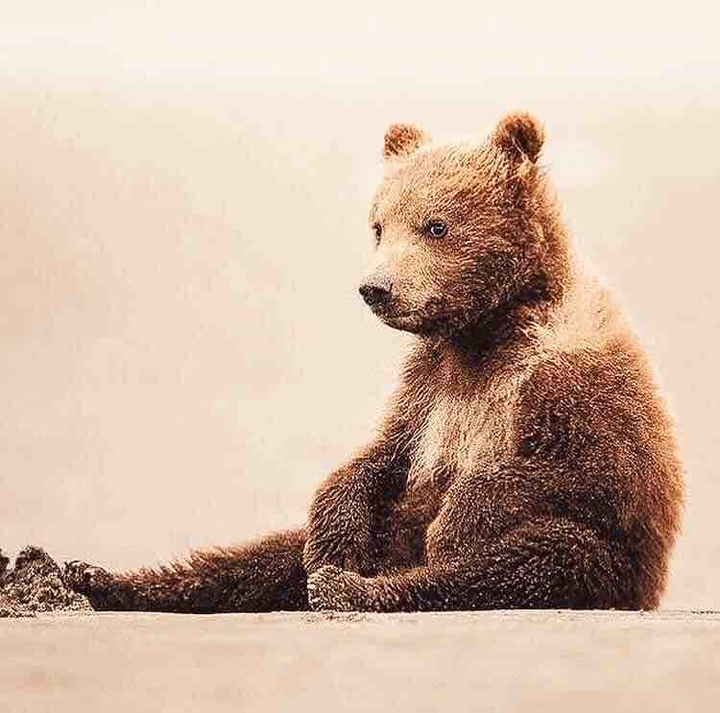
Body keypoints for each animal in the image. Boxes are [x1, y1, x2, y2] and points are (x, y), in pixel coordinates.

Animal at [65, 111, 684, 612]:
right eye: (379, 225)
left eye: (435, 225)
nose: (375, 288)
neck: (484, 332)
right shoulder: (428, 383)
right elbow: (382, 454)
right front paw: (335, 523)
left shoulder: (565, 377)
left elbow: (594, 472)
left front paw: (457, 521)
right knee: (261, 557)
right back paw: (99, 578)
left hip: (608, 567)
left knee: (535, 560)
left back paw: (356, 589)